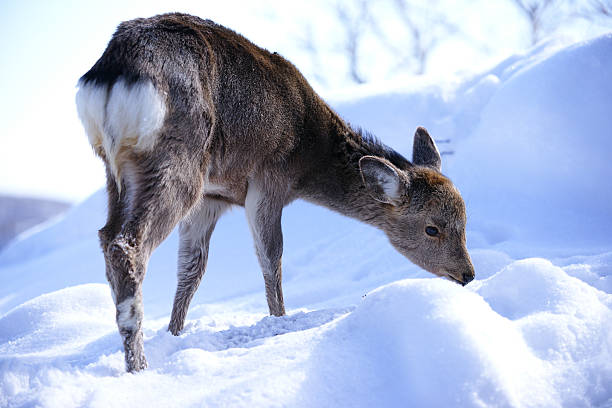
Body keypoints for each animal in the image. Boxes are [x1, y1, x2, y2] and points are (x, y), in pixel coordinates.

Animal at [75, 12, 474, 372]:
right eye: (432, 228)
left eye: (465, 220)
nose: (468, 274)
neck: (310, 154)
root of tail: (112, 74)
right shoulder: (269, 178)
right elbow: (271, 257)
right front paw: (280, 322)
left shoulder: (213, 197)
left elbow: (192, 268)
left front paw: (175, 334)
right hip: (178, 158)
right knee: (127, 243)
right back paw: (138, 364)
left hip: (118, 169)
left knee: (106, 235)